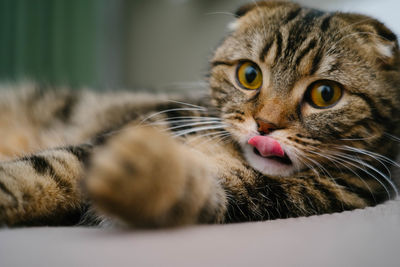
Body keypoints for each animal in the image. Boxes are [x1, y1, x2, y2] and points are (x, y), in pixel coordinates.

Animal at [0, 1, 400, 228]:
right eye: (249, 75)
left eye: (325, 94)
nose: (265, 125)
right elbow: (37, 172)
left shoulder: (237, 198)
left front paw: (145, 171)